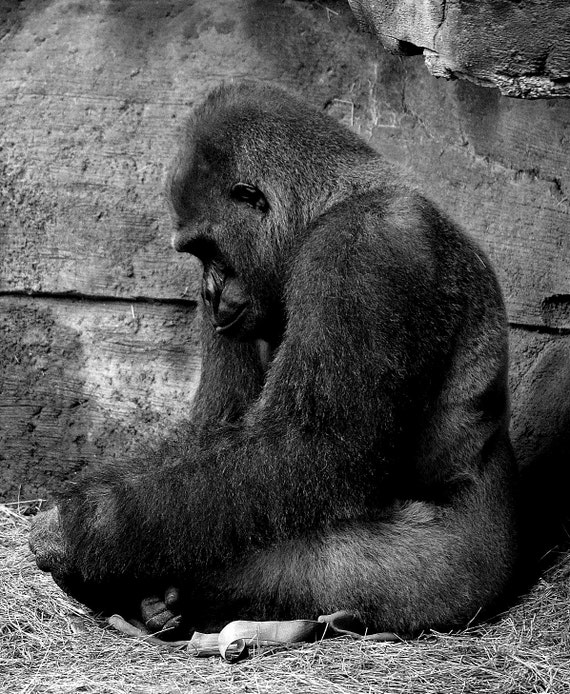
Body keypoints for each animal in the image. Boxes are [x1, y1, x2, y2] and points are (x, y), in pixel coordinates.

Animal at [29, 81, 519, 638]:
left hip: (461, 571)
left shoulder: (365, 248)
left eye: (207, 248)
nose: (208, 292)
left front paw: (85, 527)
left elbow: (308, 445)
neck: (328, 205)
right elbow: (221, 434)